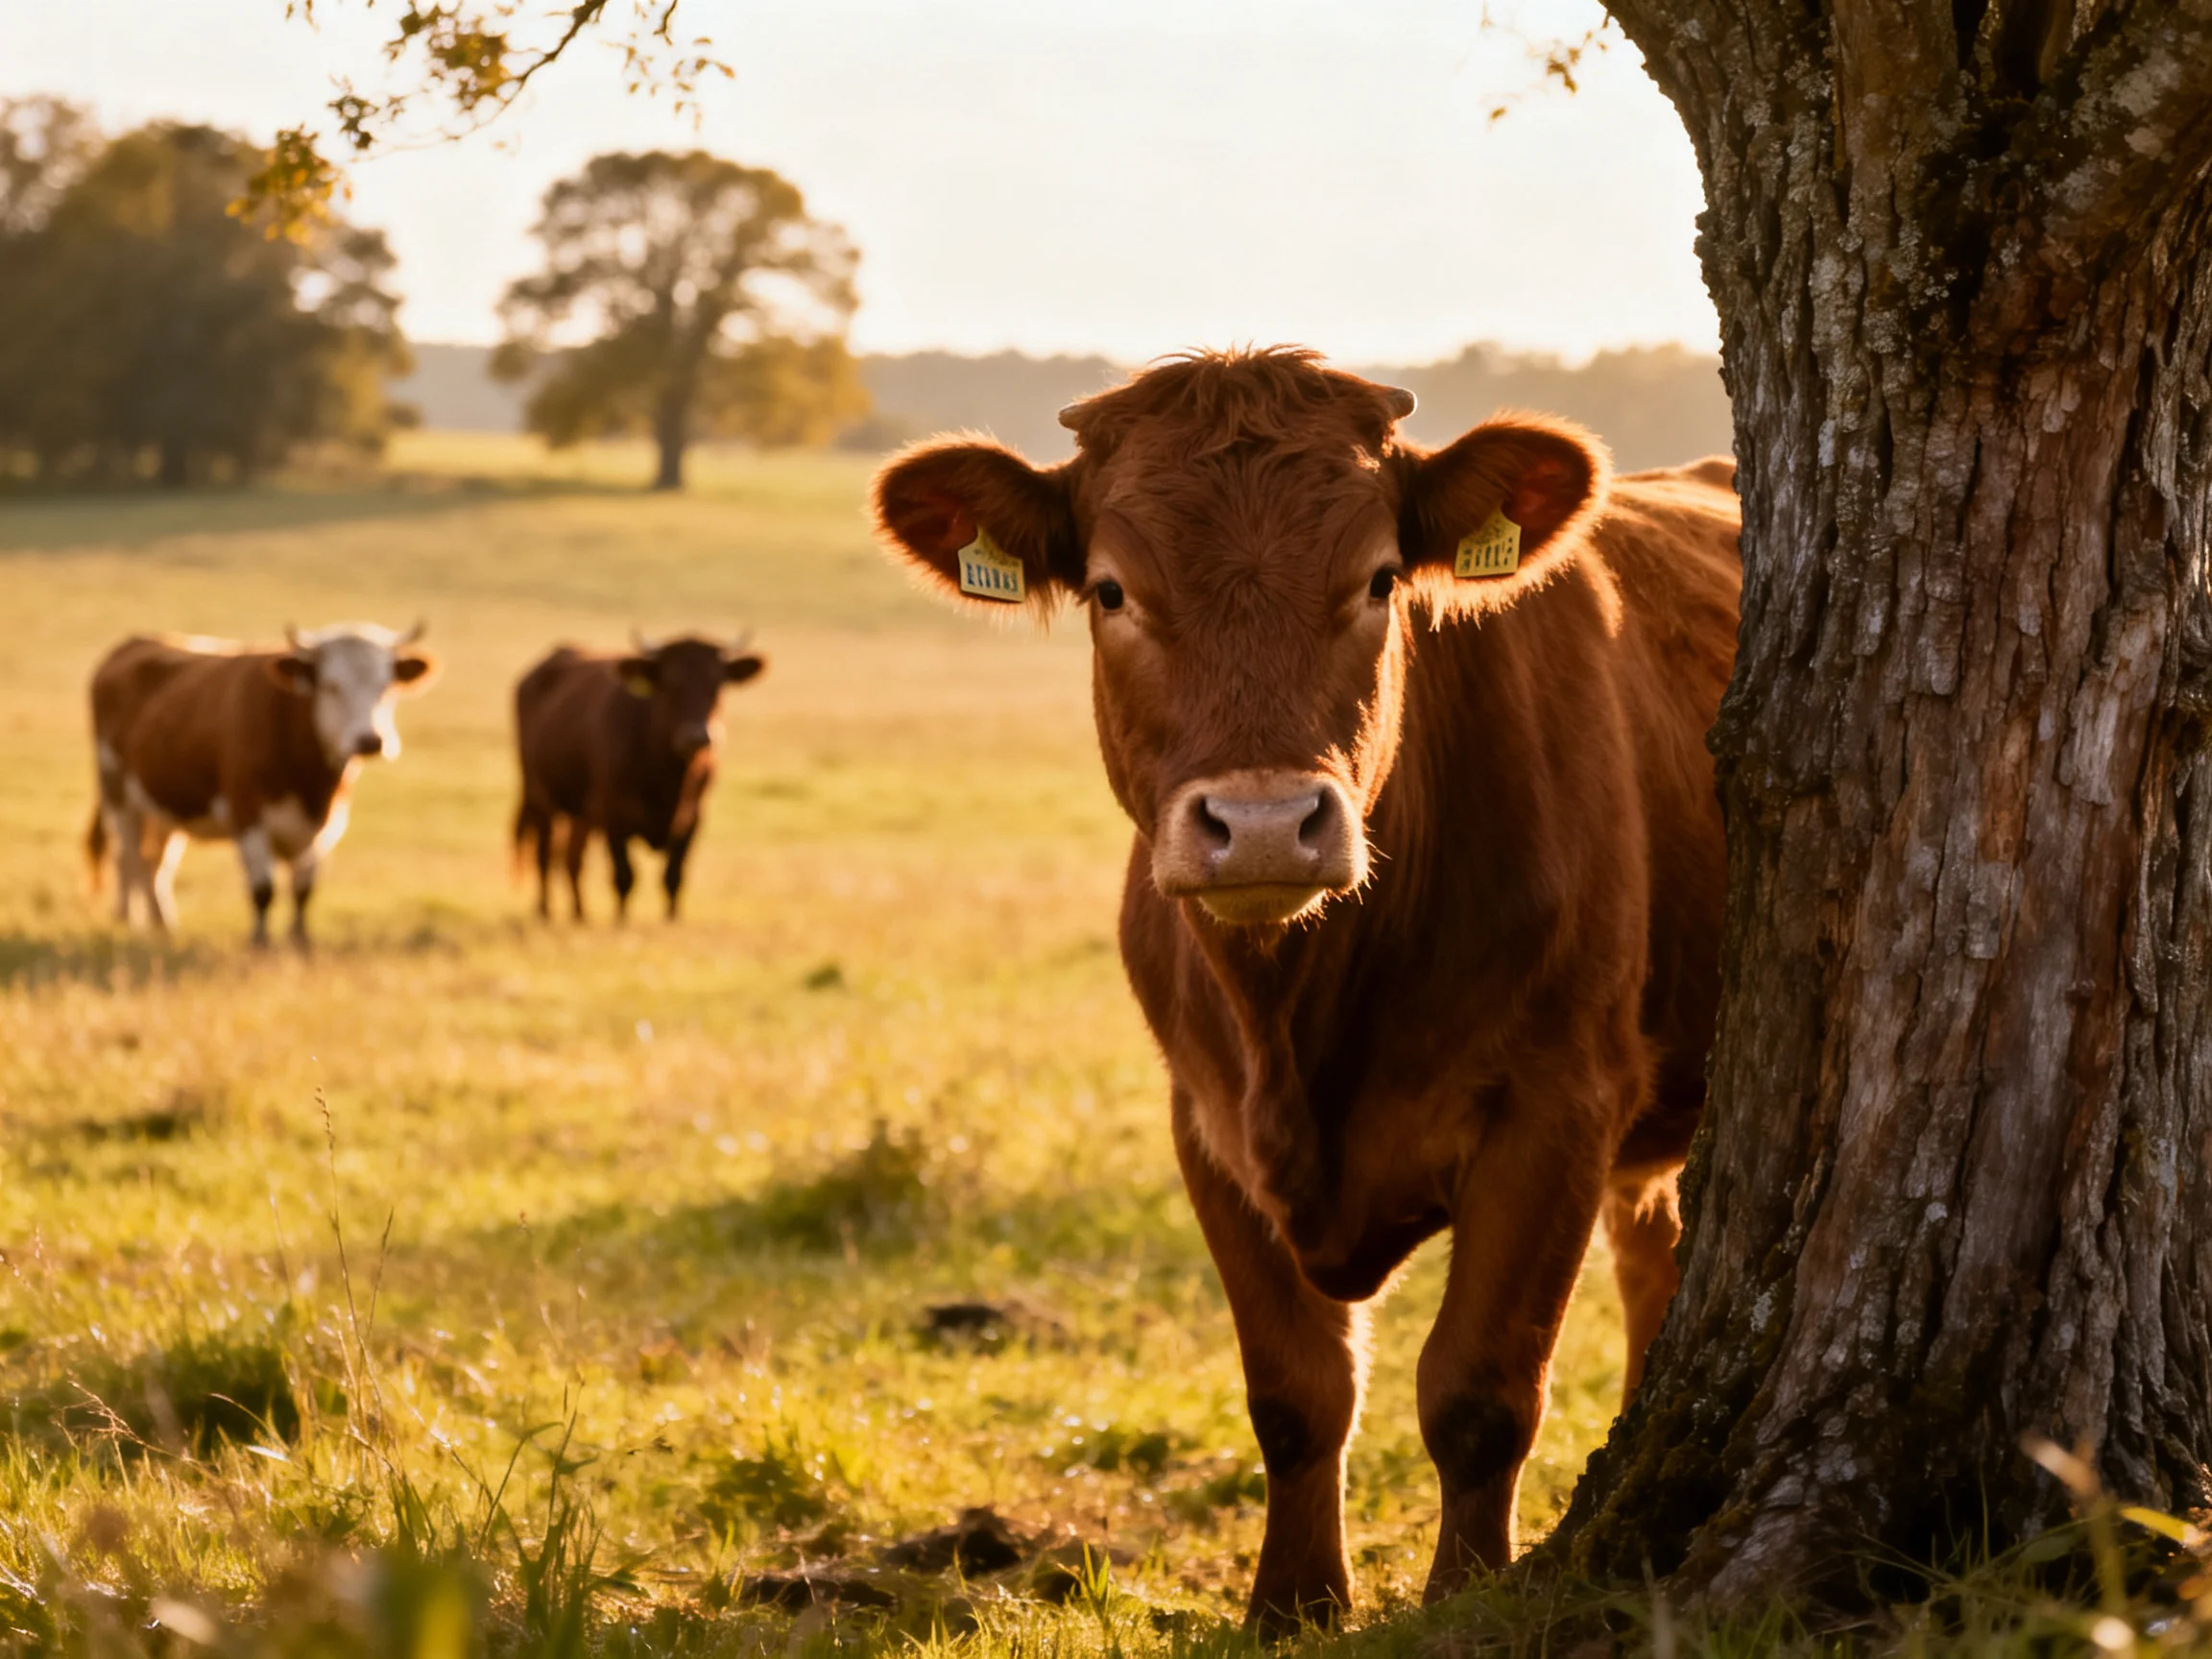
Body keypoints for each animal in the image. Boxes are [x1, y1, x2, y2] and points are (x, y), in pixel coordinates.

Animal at [87, 622, 440, 947]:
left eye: (387, 686)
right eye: (331, 686)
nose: (369, 740)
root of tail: (134, 641)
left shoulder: (325, 825)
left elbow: (303, 889)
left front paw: (300, 942)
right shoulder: (247, 813)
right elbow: (263, 888)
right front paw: (260, 943)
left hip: (164, 806)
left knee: (156, 862)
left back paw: (163, 925)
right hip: (117, 791)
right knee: (128, 856)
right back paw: (129, 920)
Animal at [512, 632, 766, 922]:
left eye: (717, 684)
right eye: (670, 683)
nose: (697, 736)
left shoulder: (693, 819)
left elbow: (674, 876)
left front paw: (672, 919)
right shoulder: (613, 818)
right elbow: (624, 877)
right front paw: (621, 920)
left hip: (581, 814)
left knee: (572, 858)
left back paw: (579, 913)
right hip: (539, 797)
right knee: (544, 855)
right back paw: (544, 910)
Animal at [871, 348, 1738, 1626]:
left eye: (1379, 579)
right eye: (1113, 591)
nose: (1268, 824)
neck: (1302, 1016)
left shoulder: (1559, 1102)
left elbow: (1479, 1392)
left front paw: (1462, 1595)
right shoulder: (1208, 1120)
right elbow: (1295, 1392)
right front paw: (1290, 1603)